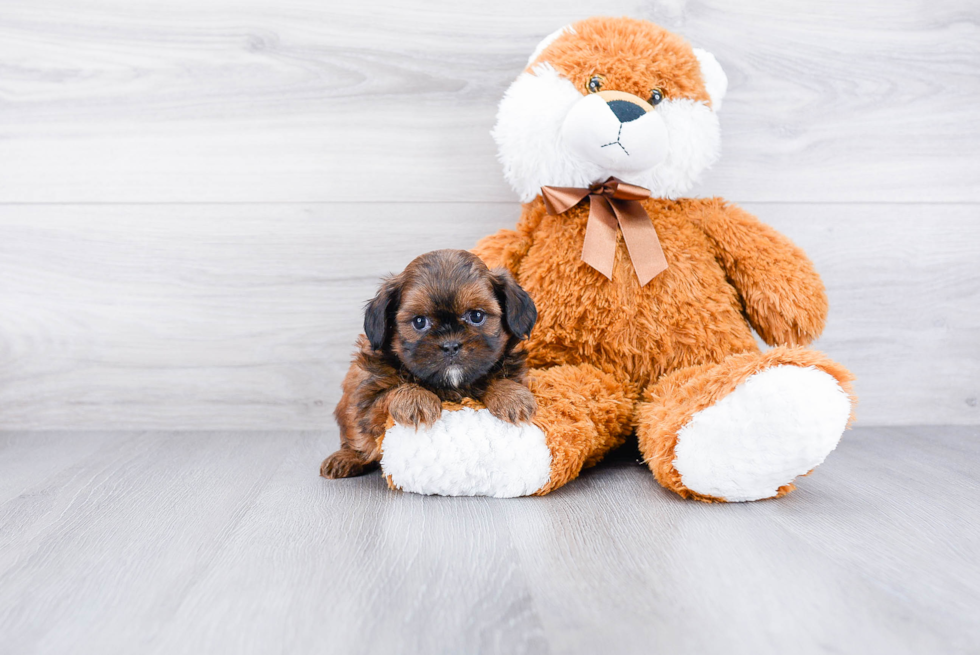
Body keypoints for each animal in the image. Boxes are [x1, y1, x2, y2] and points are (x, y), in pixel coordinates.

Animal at [320, 249, 536, 480]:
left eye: (477, 316)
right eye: (419, 322)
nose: (450, 345)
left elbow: (500, 377)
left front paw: (511, 396)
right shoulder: (368, 401)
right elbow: (390, 392)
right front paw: (415, 399)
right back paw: (345, 458)